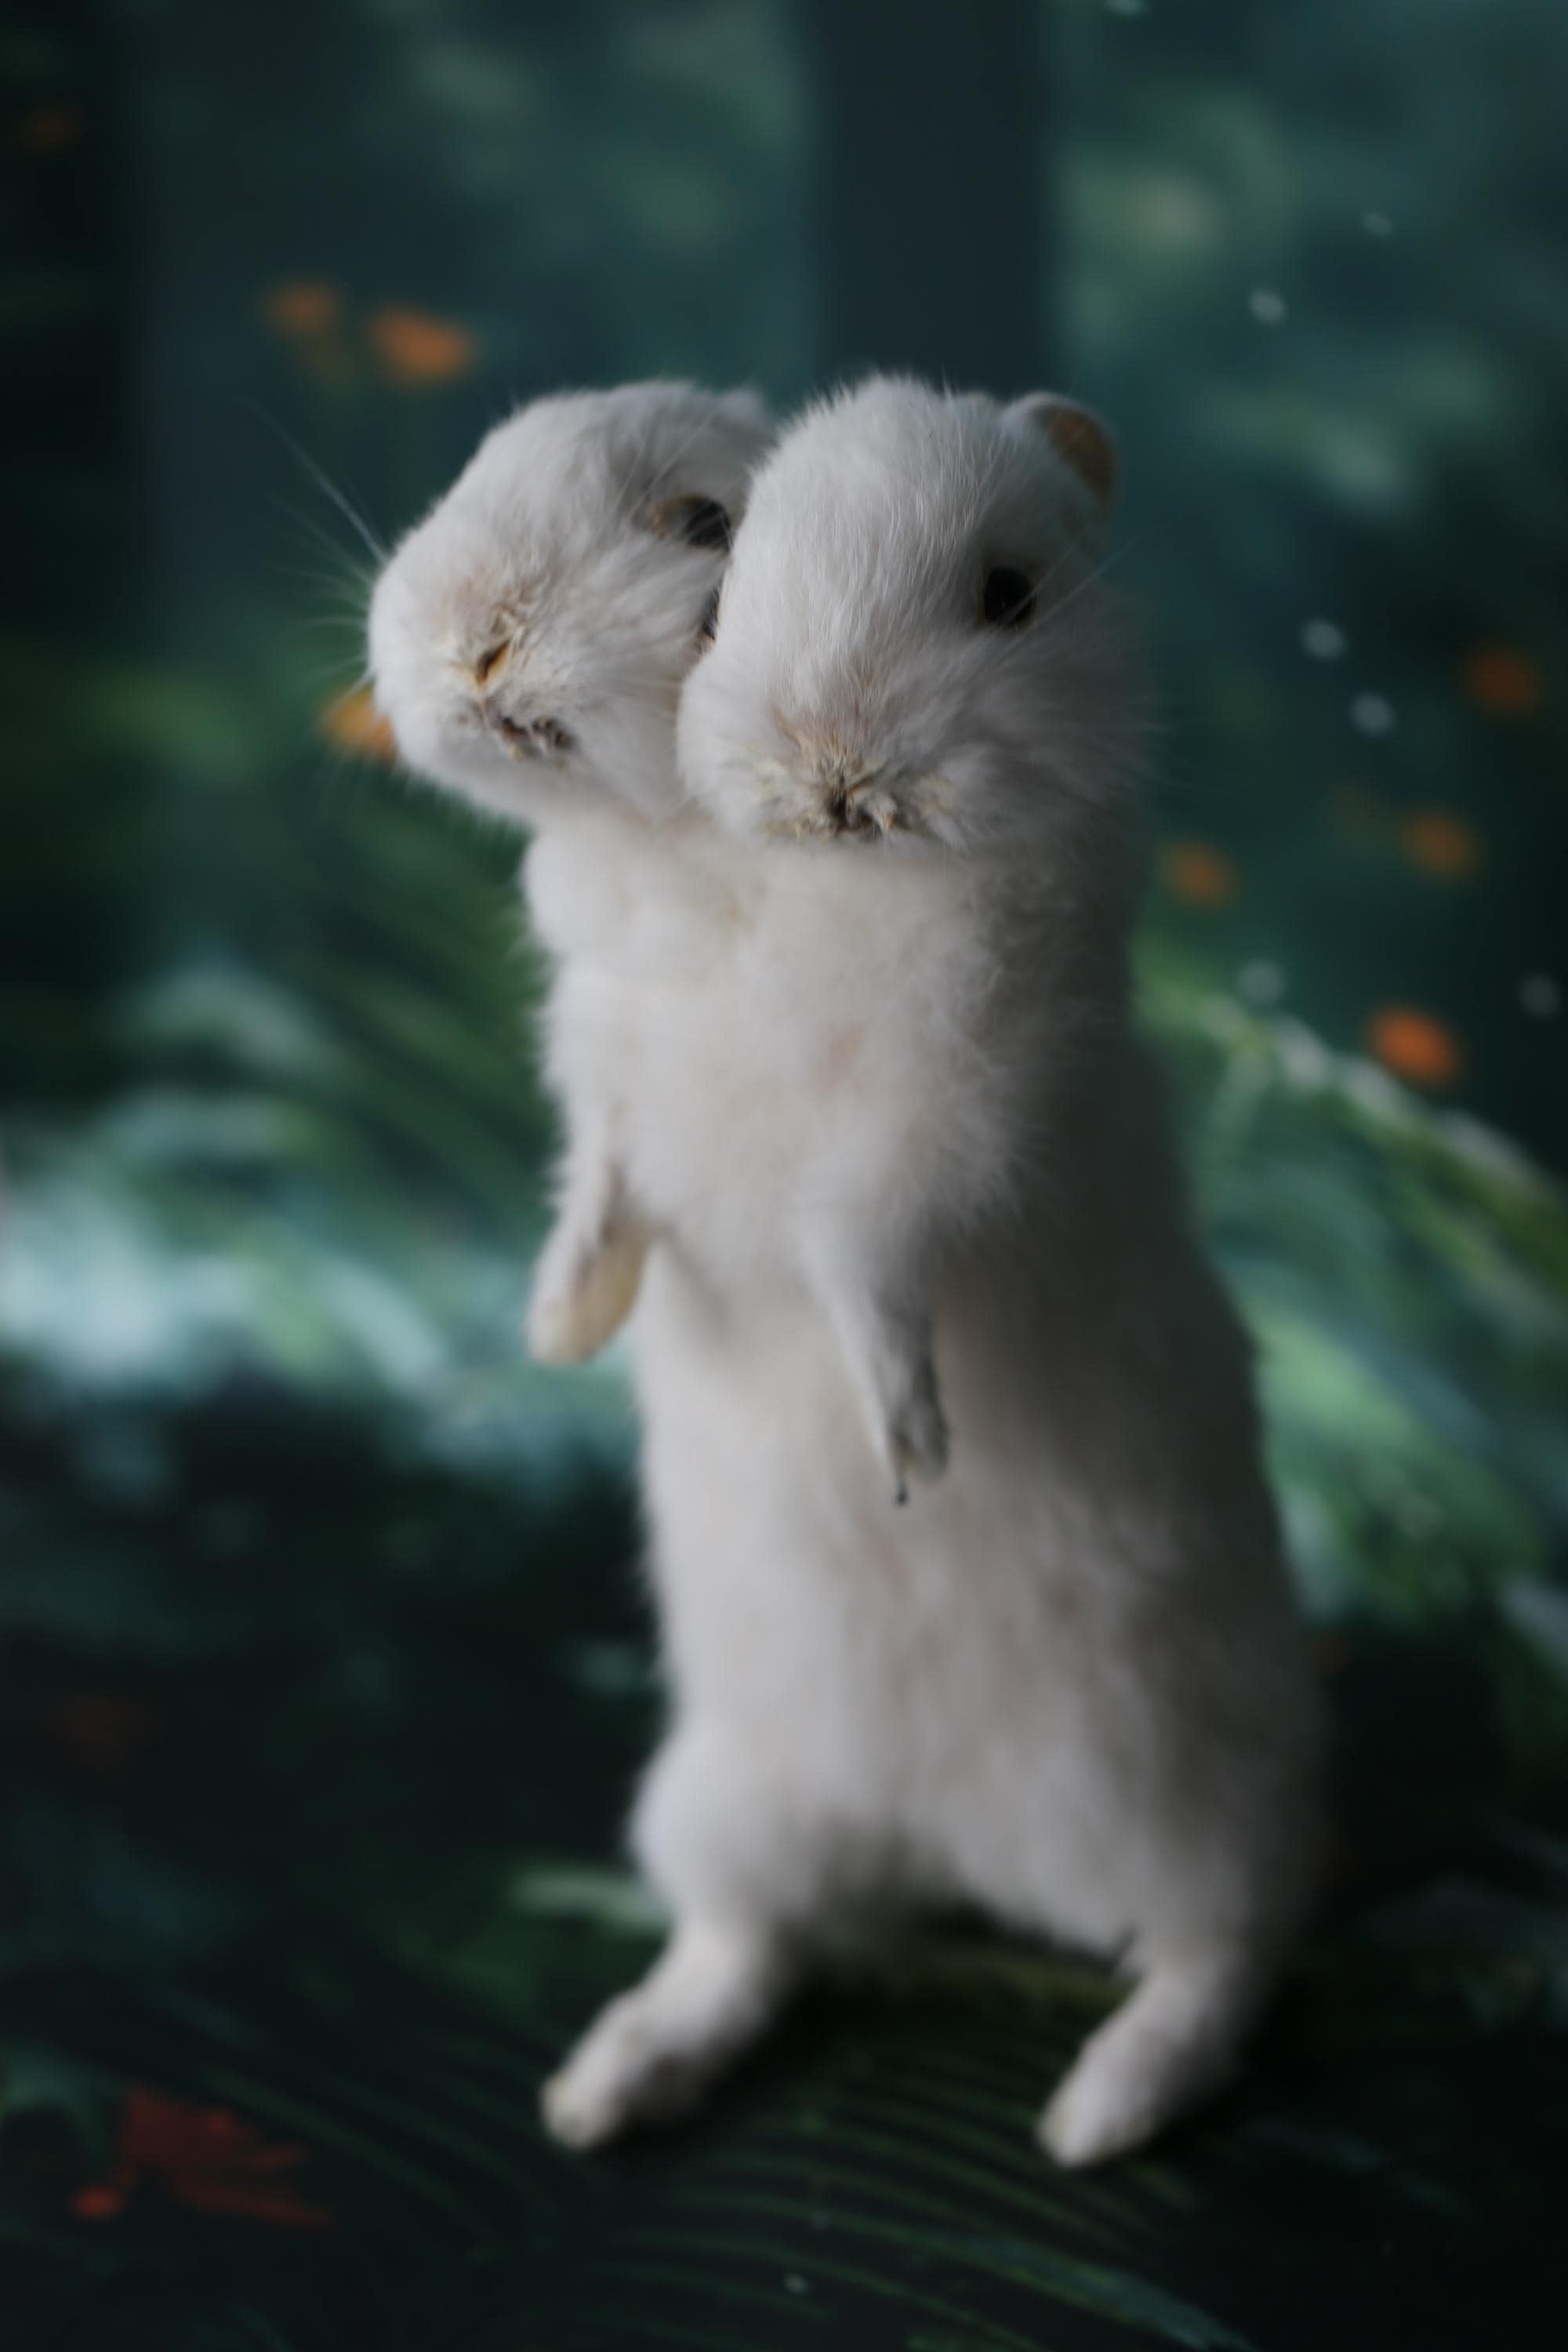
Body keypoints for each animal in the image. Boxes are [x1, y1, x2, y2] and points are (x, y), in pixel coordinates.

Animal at [539, 377, 1322, 2170]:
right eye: (721, 597)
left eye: (1009, 597)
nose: (833, 766)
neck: (825, 881)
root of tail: (952, 1850)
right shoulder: (621, 1090)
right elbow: (604, 1189)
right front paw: (561, 1319)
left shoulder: (938, 1141)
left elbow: (871, 1279)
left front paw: (909, 1451)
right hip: (729, 1802)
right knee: (752, 1946)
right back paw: (605, 2089)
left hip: (1186, 1792)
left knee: (1228, 1953)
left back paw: (1092, 2121)